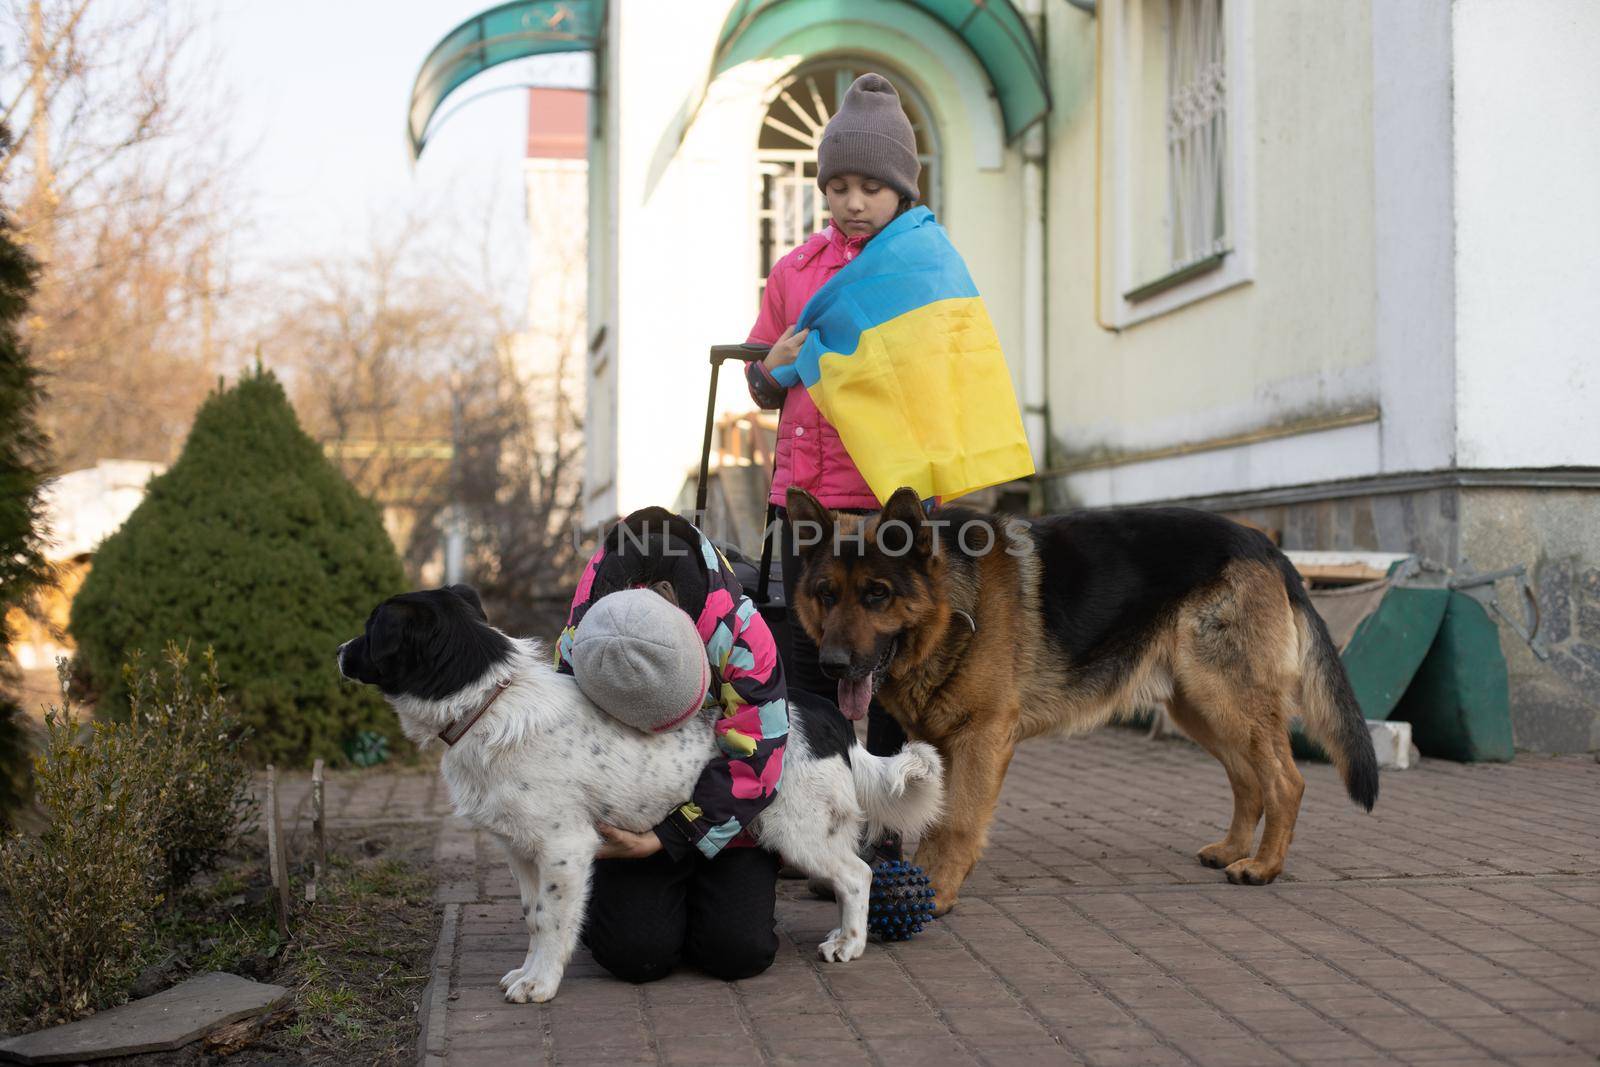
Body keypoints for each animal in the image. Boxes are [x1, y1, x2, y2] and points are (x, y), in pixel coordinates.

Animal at [334, 588, 934, 1004]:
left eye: (369, 628)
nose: (338, 651)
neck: (489, 702)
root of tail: (823, 712)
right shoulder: (520, 851)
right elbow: (533, 917)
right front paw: (528, 972)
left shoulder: (565, 848)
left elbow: (553, 920)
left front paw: (540, 985)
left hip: (795, 829)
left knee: (858, 875)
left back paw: (849, 944)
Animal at [784, 489, 1376, 915]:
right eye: (827, 595)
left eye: (877, 594)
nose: (831, 664)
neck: (951, 603)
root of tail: (1266, 546)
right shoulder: (944, 745)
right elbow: (929, 814)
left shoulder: (981, 739)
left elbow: (955, 823)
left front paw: (934, 888)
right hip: (1201, 706)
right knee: (1248, 777)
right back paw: (1233, 850)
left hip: (1226, 697)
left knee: (1285, 781)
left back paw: (1264, 866)